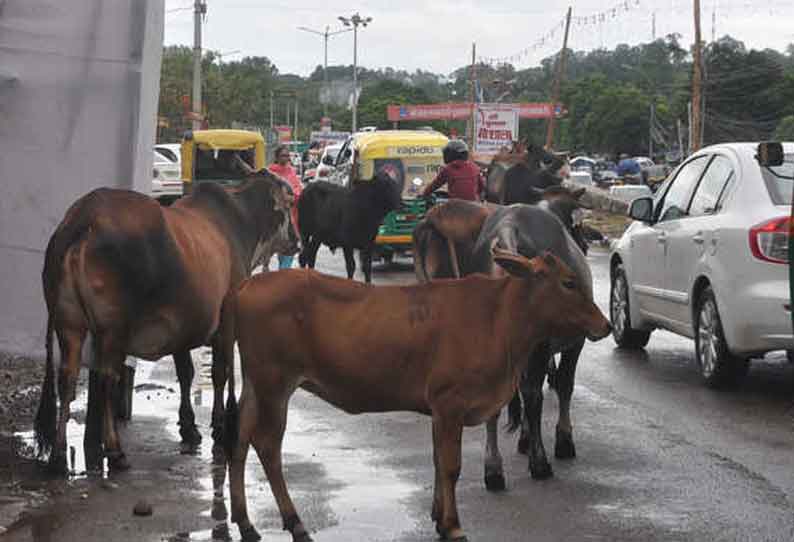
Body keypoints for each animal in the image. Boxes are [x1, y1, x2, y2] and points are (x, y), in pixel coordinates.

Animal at [34, 172, 296, 474]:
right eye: (290, 204)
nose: (297, 240)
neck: (240, 221)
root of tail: (84, 216)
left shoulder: (181, 328)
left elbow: (186, 373)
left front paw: (189, 427)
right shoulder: (225, 323)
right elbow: (221, 373)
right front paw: (219, 426)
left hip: (69, 324)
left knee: (67, 378)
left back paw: (58, 456)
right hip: (112, 330)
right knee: (107, 379)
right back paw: (114, 450)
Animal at [226, 252, 608, 542]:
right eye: (568, 282)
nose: (605, 324)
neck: (499, 320)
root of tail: (248, 285)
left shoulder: (439, 410)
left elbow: (438, 460)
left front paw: (439, 518)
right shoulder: (450, 404)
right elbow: (451, 466)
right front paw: (453, 526)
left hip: (255, 385)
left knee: (239, 439)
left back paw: (246, 523)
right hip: (275, 384)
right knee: (267, 446)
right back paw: (296, 523)